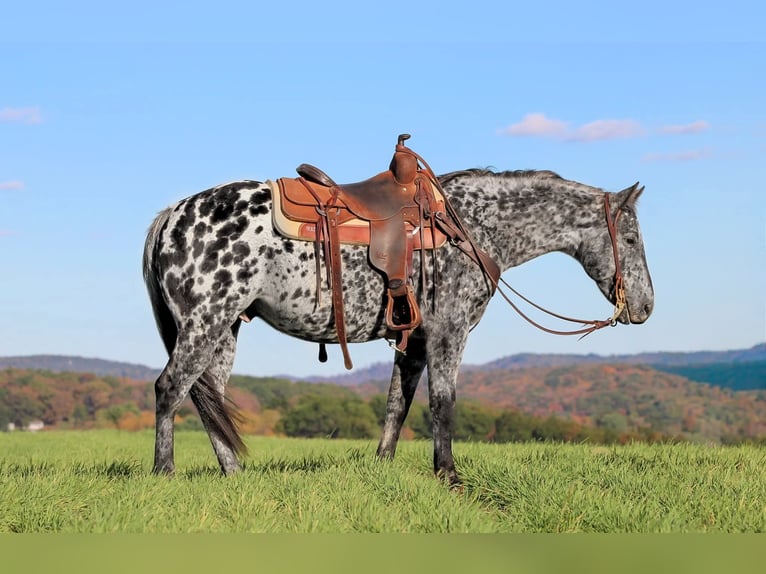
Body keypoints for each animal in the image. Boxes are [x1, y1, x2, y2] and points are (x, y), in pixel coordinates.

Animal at [142, 167, 654, 486]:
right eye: (630, 238)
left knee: (208, 398)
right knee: (170, 388)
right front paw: (449, 474)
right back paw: (164, 473)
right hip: (204, 324)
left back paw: (234, 474)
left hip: (224, 331)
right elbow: (443, 404)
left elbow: (397, 406)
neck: (470, 227)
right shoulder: (449, 333)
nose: (645, 306)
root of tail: (172, 214)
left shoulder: (415, 342)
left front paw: (384, 465)